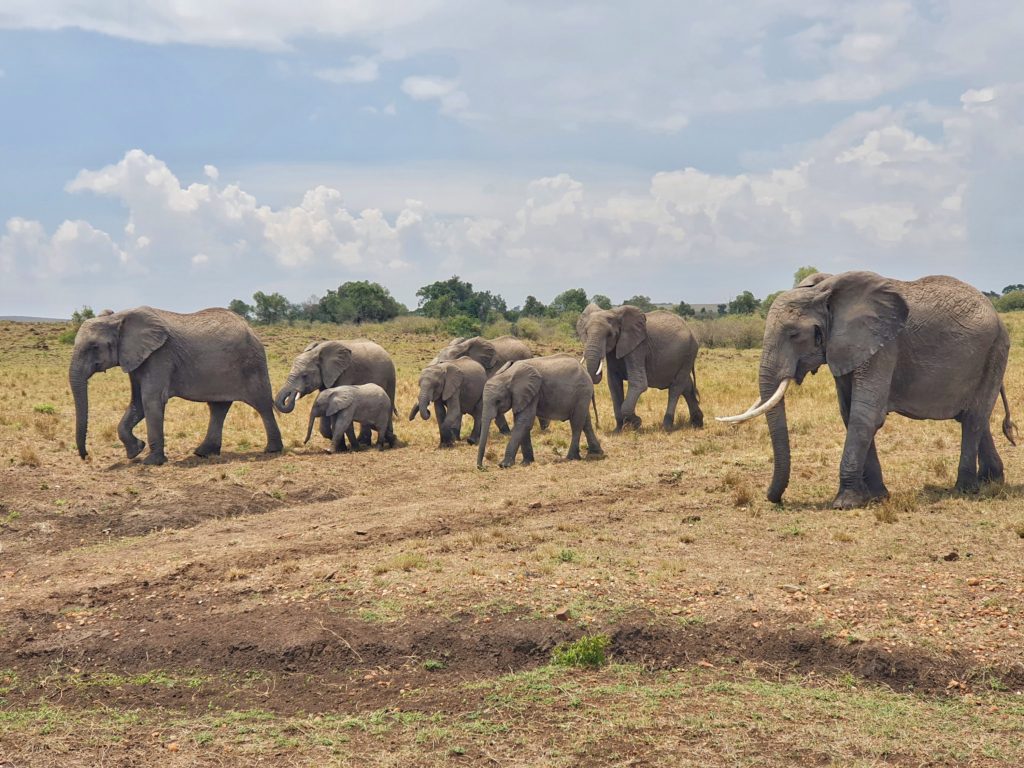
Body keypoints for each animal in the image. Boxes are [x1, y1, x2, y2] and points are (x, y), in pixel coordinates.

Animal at [70, 305, 282, 462]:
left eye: (94, 347)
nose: (86, 456)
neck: (118, 318)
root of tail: (251, 328)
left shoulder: (159, 355)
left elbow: (151, 400)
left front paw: (152, 462)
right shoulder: (136, 358)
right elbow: (137, 402)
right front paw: (135, 451)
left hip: (252, 364)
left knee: (262, 405)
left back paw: (272, 450)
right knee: (218, 408)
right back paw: (203, 453)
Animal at [577, 303, 704, 434]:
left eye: (609, 335)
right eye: (586, 333)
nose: (597, 425)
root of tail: (690, 330)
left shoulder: (638, 347)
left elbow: (639, 383)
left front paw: (636, 423)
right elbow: (614, 384)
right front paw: (617, 430)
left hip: (689, 353)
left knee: (676, 388)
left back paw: (667, 427)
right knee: (687, 386)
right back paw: (697, 424)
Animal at [720, 272, 1015, 512]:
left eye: (793, 334)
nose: (774, 499)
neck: (826, 292)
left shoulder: (882, 346)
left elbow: (865, 415)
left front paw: (845, 503)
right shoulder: (846, 349)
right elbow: (849, 413)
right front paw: (876, 498)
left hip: (995, 350)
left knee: (974, 418)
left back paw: (964, 489)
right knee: (973, 417)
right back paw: (991, 482)